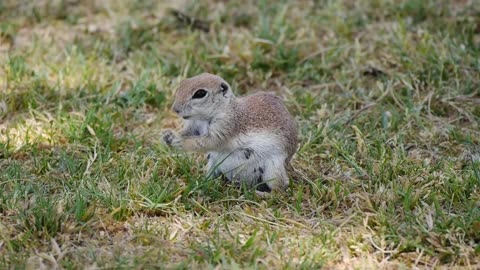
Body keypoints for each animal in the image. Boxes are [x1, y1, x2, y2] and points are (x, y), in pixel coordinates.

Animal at [162, 73, 296, 192]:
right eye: (181, 85)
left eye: (200, 93)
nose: (175, 109)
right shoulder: (194, 126)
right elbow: (189, 132)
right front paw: (167, 135)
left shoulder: (226, 126)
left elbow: (207, 142)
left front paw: (179, 141)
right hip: (213, 163)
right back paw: (203, 182)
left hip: (273, 169)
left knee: (280, 189)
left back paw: (260, 194)